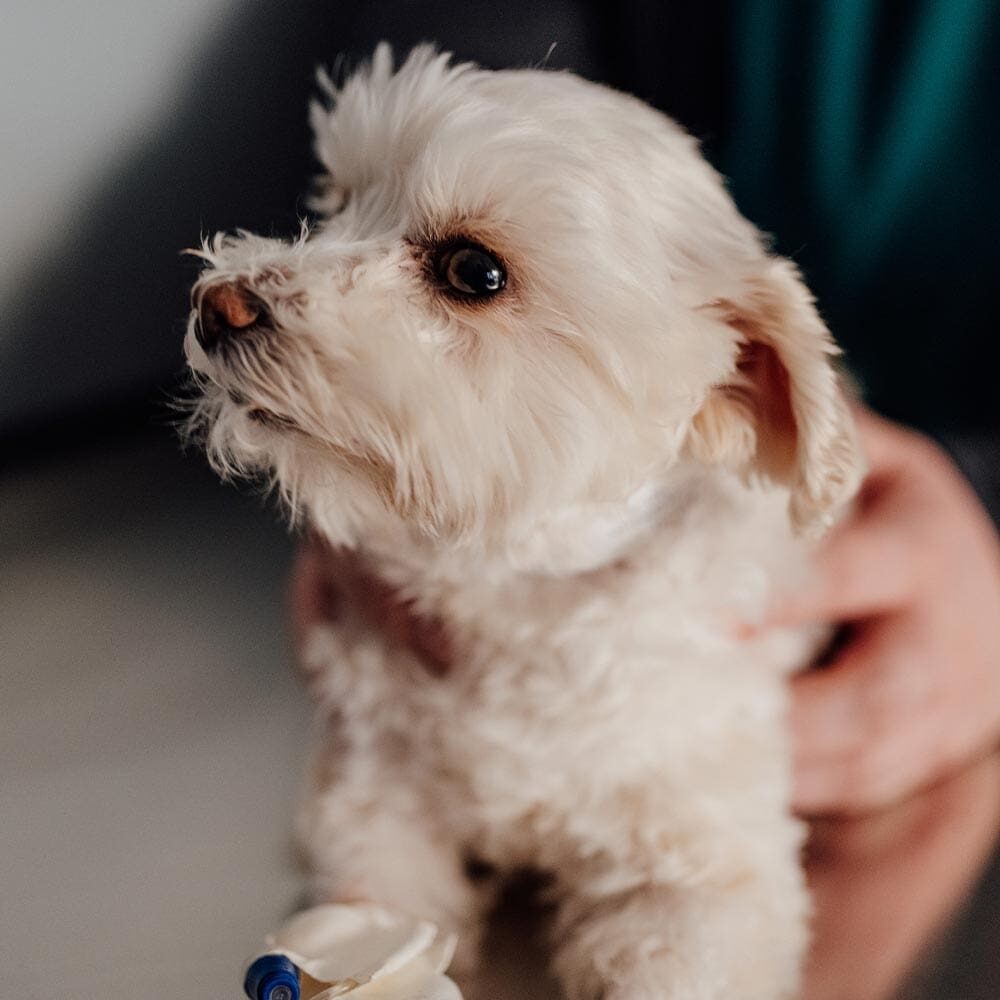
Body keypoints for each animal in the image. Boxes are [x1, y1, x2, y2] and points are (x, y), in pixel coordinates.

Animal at [184, 47, 864, 1000]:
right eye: (338, 202)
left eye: (473, 271)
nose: (219, 303)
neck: (513, 587)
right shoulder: (373, 804)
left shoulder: (706, 867)